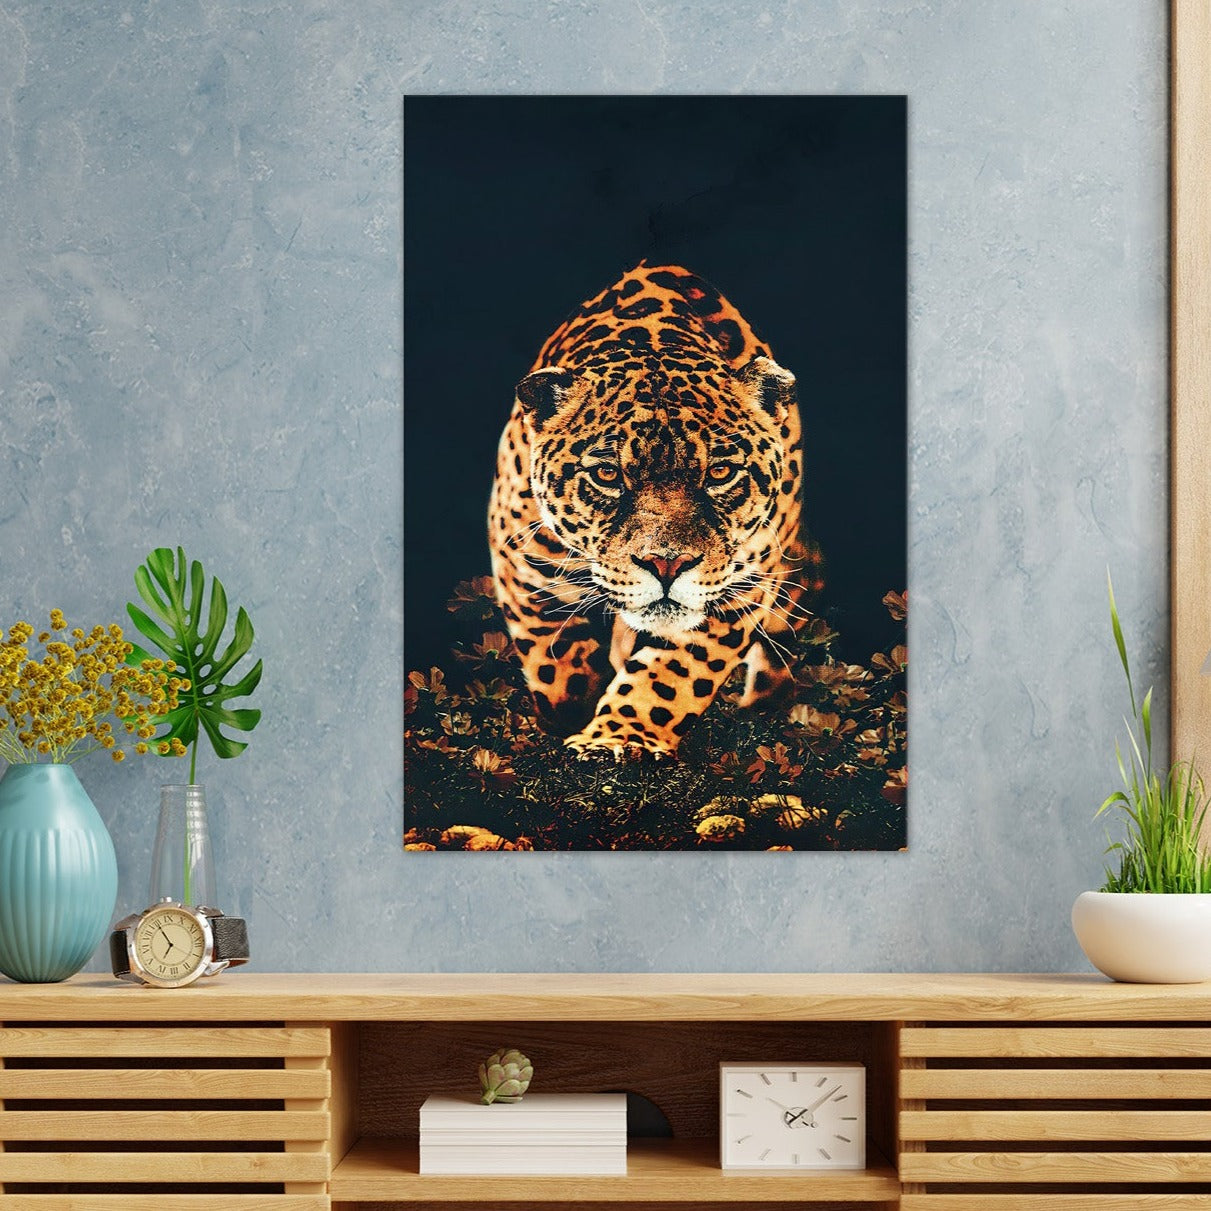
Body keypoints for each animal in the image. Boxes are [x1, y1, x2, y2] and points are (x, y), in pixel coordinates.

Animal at [488, 262, 812, 760]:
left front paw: (618, 736)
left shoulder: (740, 587)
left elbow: (671, 675)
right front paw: (572, 712)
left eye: (720, 472)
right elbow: (556, 657)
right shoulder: (525, 563)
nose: (666, 564)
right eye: (607, 474)